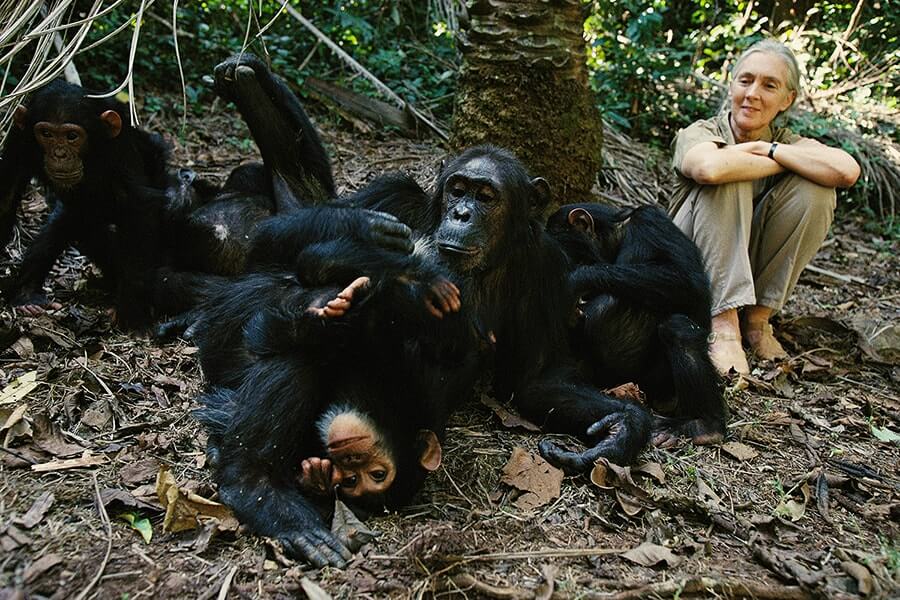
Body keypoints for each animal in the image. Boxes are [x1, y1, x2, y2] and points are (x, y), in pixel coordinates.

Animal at [0, 78, 171, 328]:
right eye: (46, 133)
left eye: (72, 136)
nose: (60, 154)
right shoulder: (20, 137)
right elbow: (7, 192)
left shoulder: (118, 146)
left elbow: (137, 205)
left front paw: (132, 311)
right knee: (65, 226)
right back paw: (27, 294)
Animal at [544, 202, 728, 446]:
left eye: (572, 260)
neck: (619, 233)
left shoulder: (650, 224)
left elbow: (687, 280)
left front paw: (576, 280)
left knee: (675, 328)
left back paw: (705, 426)